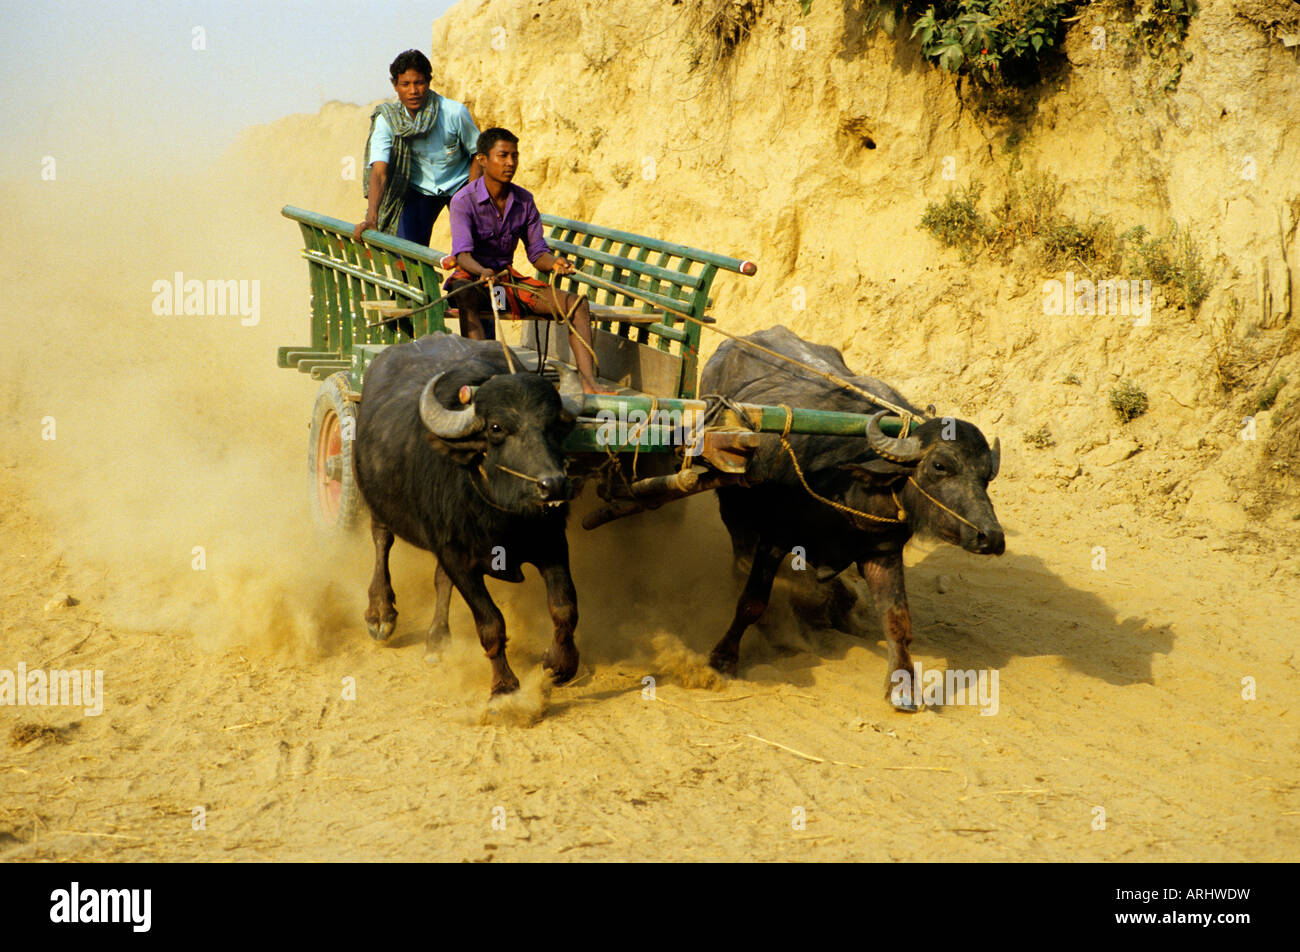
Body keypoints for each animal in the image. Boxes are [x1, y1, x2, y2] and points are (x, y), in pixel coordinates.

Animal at [353, 330, 582, 697]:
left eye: (553, 426)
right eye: (496, 427)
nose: (554, 485)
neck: (503, 519)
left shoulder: (552, 542)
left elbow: (565, 608)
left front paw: (560, 663)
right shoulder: (458, 557)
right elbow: (491, 623)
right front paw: (504, 687)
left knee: (439, 579)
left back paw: (436, 639)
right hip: (376, 499)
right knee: (381, 541)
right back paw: (380, 613)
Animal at [702, 325, 1003, 707]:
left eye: (986, 475)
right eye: (940, 466)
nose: (990, 537)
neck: (843, 484)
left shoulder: (883, 552)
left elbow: (897, 619)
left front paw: (903, 686)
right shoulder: (775, 538)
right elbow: (752, 602)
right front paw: (723, 657)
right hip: (731, 505)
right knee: (740, 553)